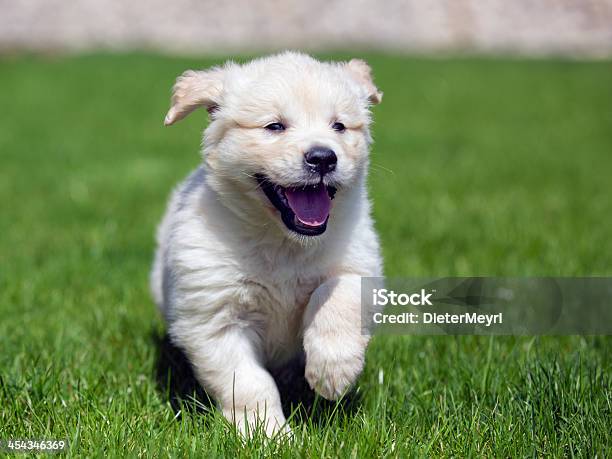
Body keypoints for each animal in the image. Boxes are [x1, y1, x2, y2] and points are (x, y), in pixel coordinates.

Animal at [150, 52, 382, 436]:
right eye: (274, 126)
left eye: (339, 126)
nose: (323, 157)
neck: (283, 242)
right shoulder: (215, 318)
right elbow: (249, 382)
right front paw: (267, 433)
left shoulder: (358, 260)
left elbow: (337, 294)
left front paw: (333, 369)